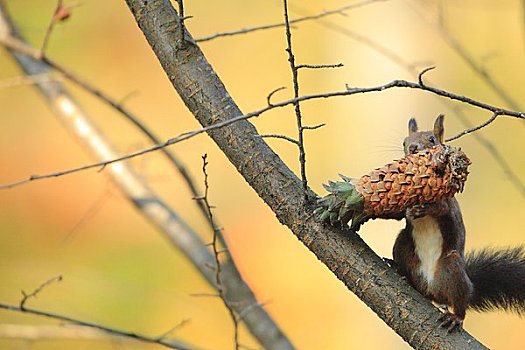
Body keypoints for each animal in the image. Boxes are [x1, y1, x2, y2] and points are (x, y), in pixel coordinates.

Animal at [390, 115, 524, 330]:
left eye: (431, 139)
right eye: (404, 141)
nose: (412, 148)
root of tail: (431, 289)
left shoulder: (447, 203)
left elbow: (441, 209)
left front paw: (422, 209)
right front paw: (409, 209)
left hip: (451, 268)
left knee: (460, 302)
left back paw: (456, 317)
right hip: (403, 244)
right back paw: (397, 268)